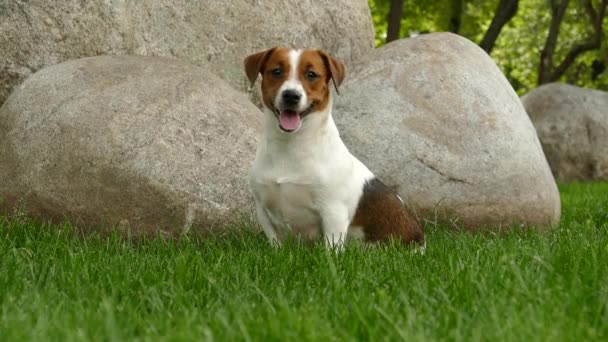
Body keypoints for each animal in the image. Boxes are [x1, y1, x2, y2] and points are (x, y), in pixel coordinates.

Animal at [242, 47, 422, 248]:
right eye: (277, 71)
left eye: (311, 74)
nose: (291, 95)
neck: (291, 144)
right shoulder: (263, 209)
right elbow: (275, 244)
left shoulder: (333, 211)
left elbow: (331, 248)